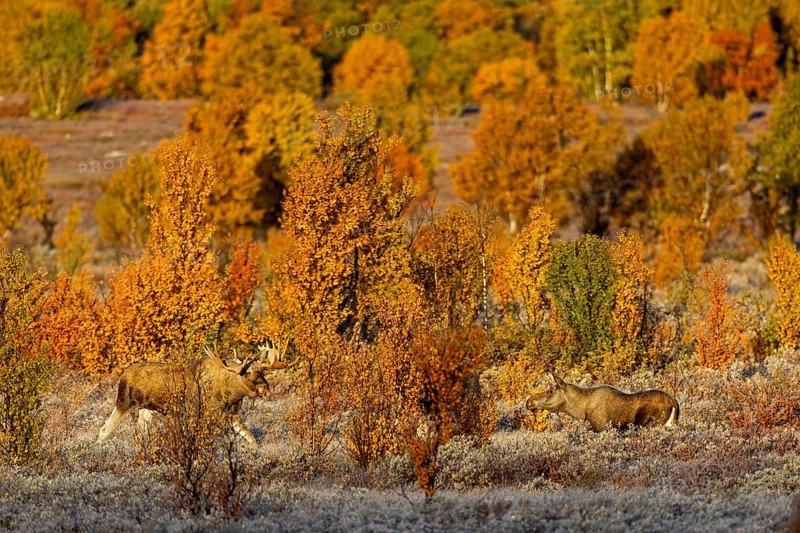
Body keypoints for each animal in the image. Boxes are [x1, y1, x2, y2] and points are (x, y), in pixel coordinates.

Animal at [97, 341, 293, 446]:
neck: (232, 393)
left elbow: (251, 438)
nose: (265, 389)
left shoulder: (233, 415)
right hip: (124, 402)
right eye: (248, 372)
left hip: (147, 411)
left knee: (137, 435)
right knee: (104, 430)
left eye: (262, 371)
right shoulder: (207, 413)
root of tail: (123, 375)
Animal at [525, 373, 679, 432]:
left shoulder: (600, 427)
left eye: (551, 390)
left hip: (648, 424)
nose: (529, 402)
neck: (580, 409)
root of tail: (674, 403)